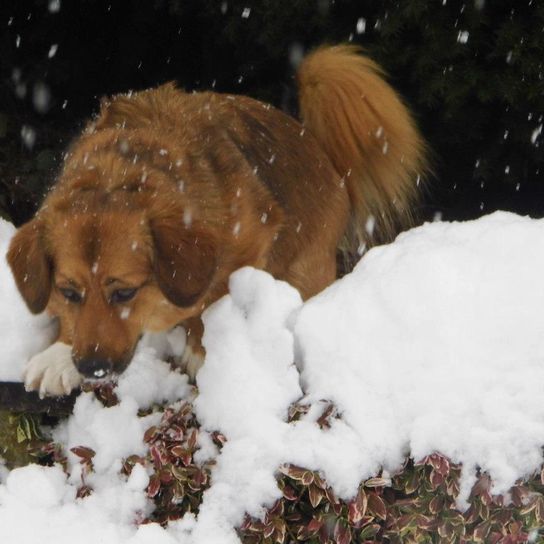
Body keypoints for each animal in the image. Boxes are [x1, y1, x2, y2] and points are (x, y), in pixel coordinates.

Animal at [6, 45, 428, 396]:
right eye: (69, 292)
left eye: (124, 293)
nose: (91, 366)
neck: (122, 171)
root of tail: (327, 161)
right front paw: (59, 353)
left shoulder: (253, 235)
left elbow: (213, 294)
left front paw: (199, 345)